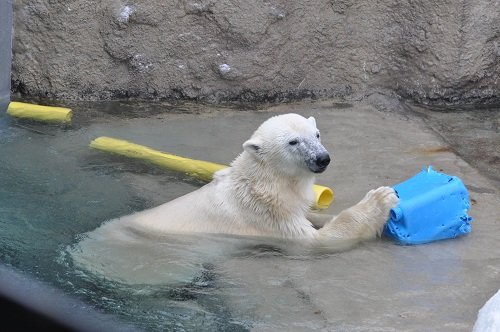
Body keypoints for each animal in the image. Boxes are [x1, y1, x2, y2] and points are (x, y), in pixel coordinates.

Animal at [69, 113, 398, 284]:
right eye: (293, 142)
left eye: (316, 134)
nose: (322, 158)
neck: (261, 181)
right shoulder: (264, 214)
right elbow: (317, 242)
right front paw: (381, 199)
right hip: (150, 261)